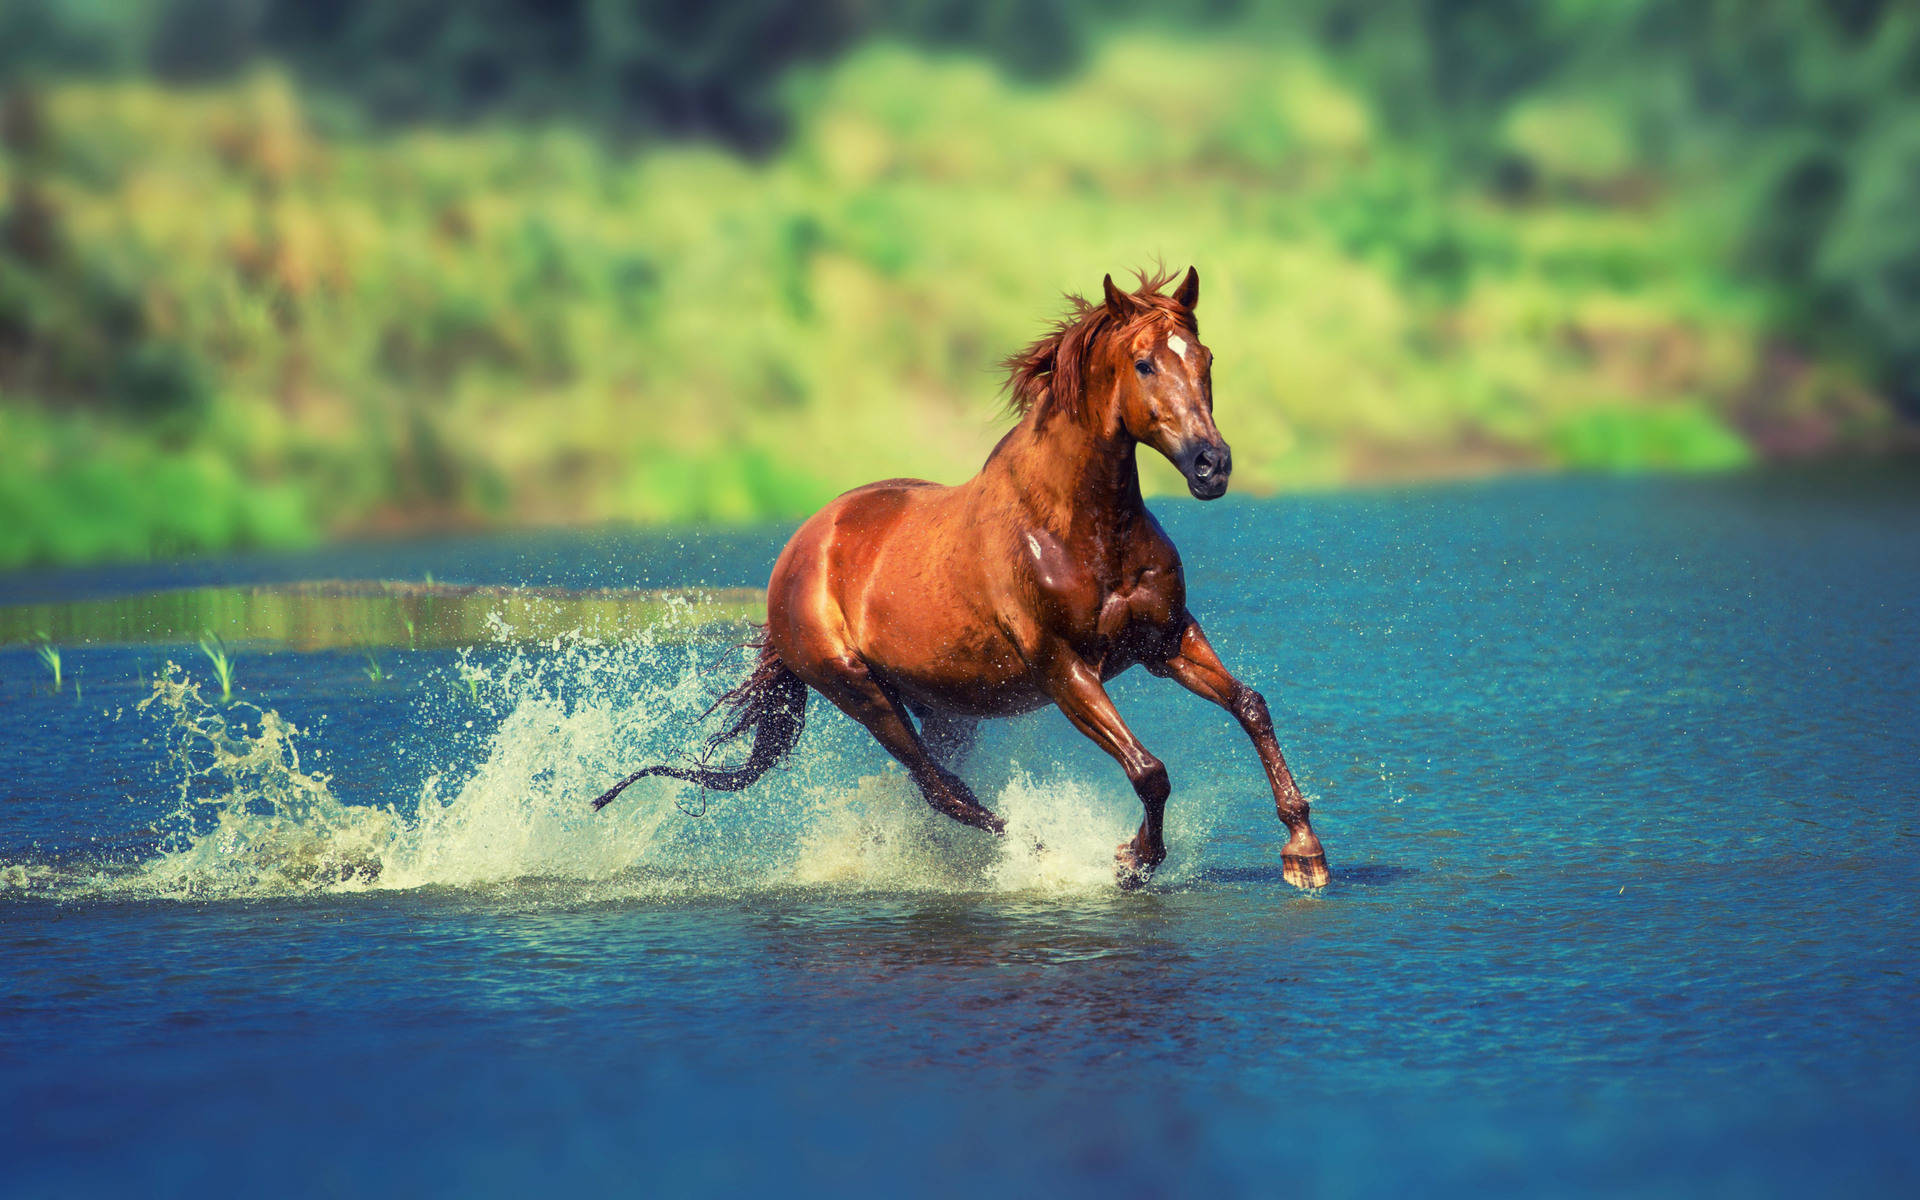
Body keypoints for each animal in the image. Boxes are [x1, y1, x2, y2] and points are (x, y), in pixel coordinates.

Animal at [591, 270, 1328, 890]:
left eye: (1205, 360)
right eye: (1144, 362)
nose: (1211, 465)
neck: (1079, 528)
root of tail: (796, 556)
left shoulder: (1164, 640)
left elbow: (1251, 705)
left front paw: (1304, 854)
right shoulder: (1065, 668)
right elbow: (1149, 770)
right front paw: (1132, 860)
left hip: (944, 704)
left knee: (943, 785)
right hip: (860, 691)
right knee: (942, 789)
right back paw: (1041, 854)